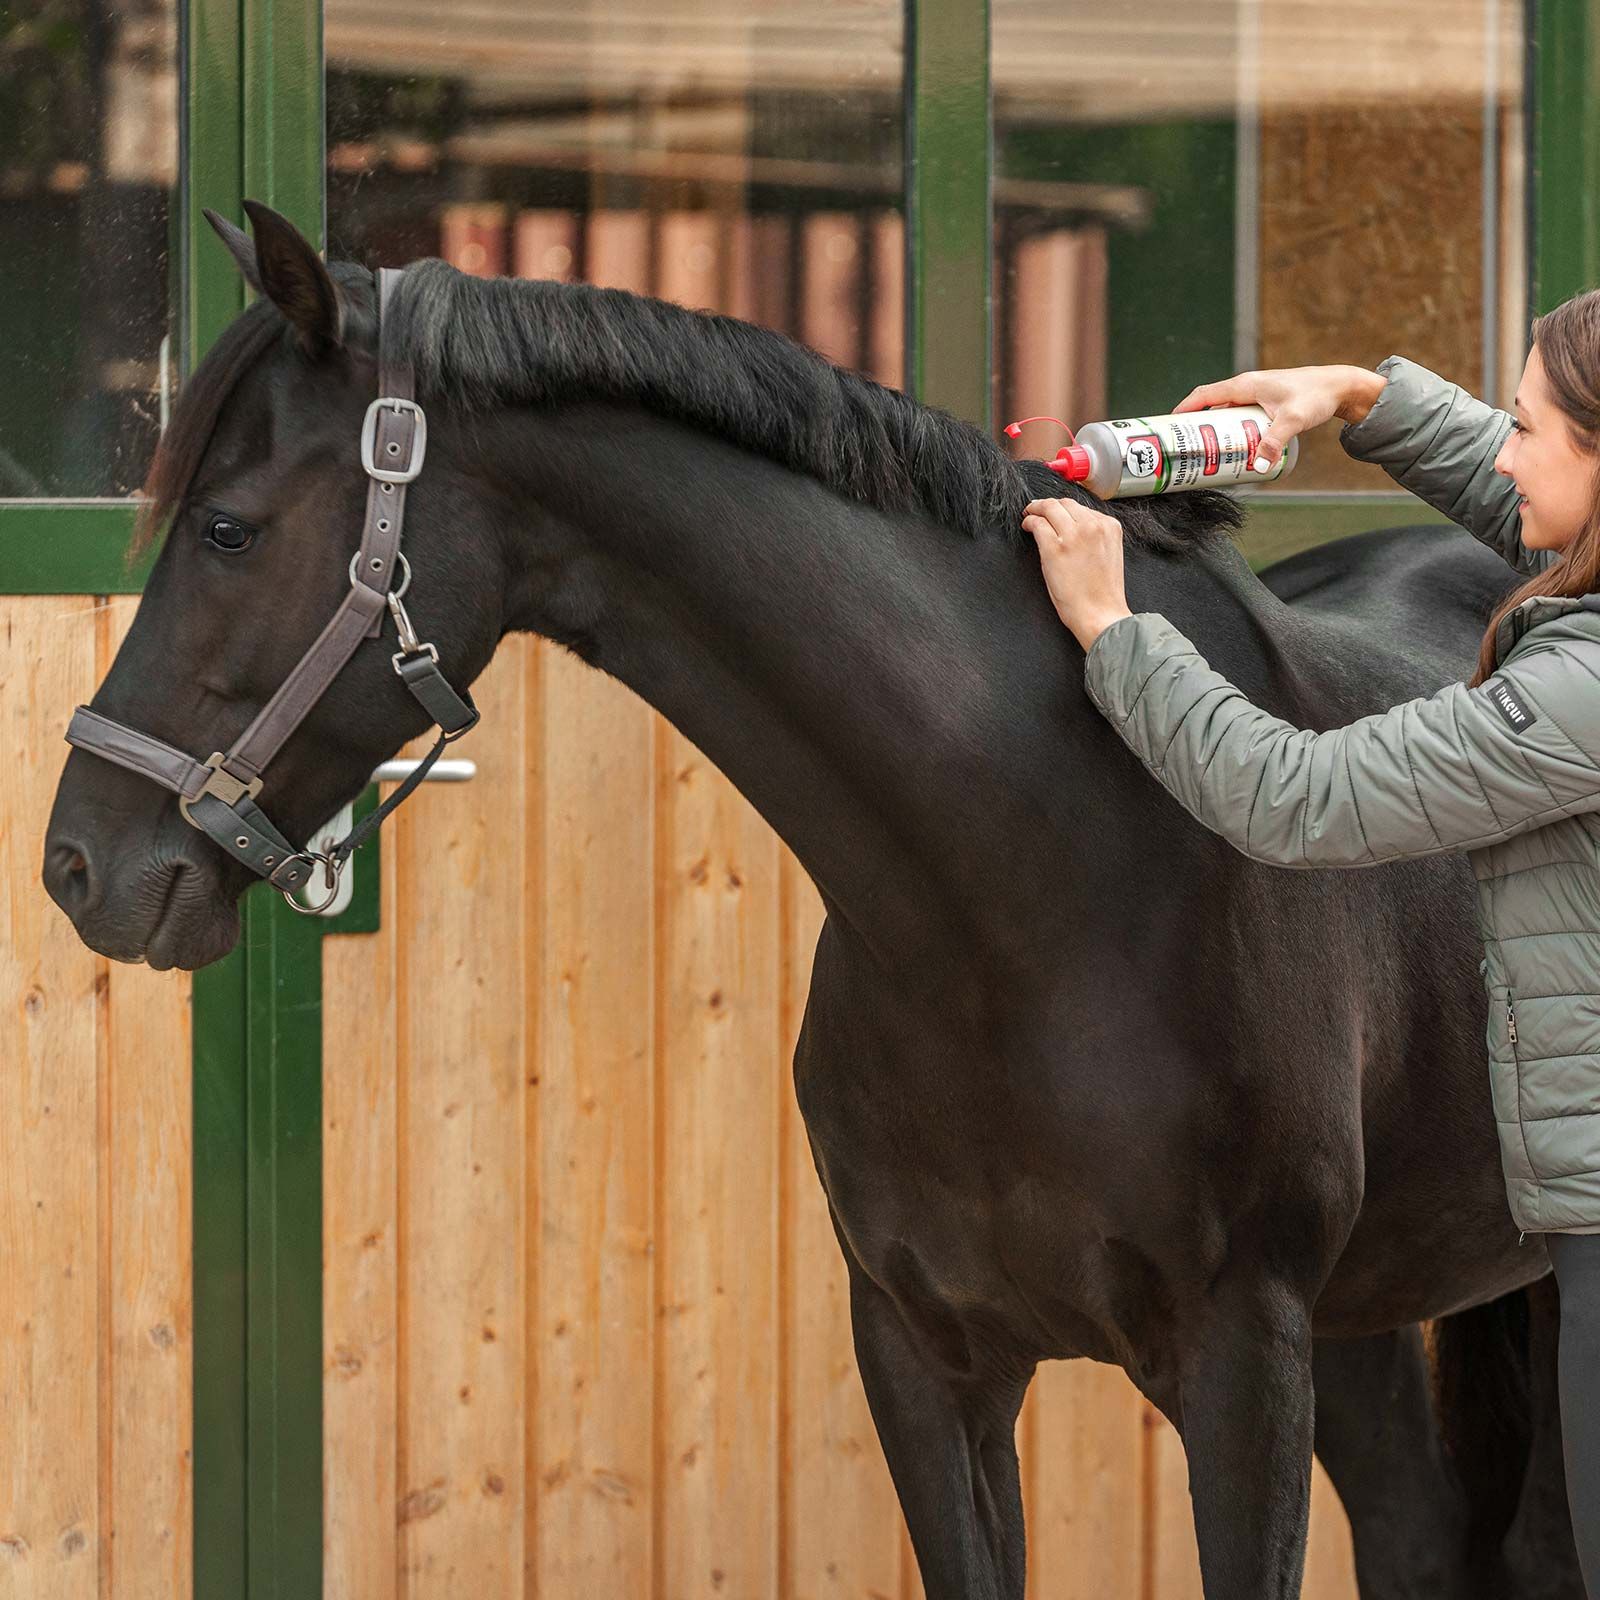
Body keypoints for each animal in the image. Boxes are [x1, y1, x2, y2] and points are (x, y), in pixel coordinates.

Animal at [42, 201, 1582, 1599]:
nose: (79, 865)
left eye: (228, 531)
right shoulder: (924, 1358)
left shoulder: (1242, 1368)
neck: (1042, 890)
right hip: (1371, 1323)